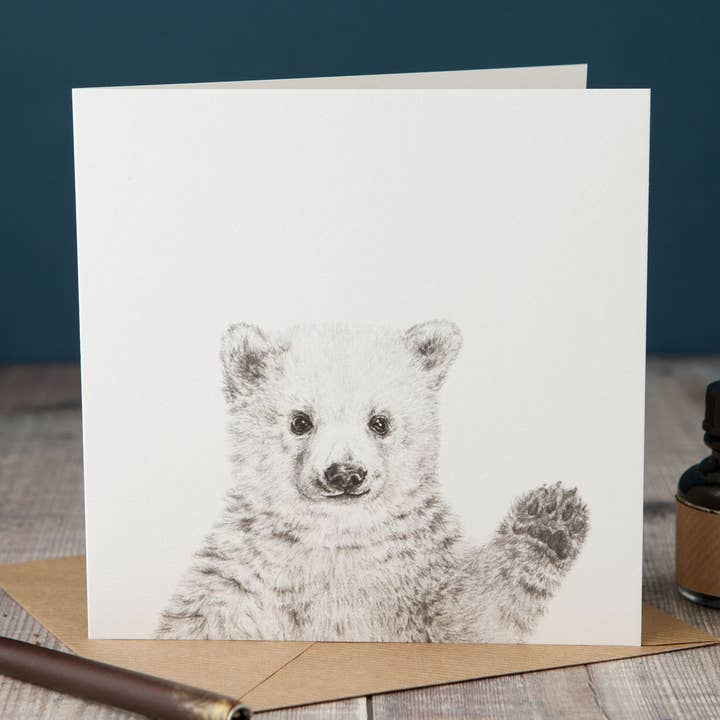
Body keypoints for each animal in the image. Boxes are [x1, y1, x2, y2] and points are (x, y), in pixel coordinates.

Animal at [156, 320, 589, 642]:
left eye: (380, 421)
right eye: (300, 421)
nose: (345, 473)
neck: (339, 541)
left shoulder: (422, 574)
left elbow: (473, 617)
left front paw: (549, 521)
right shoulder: (246, 579)